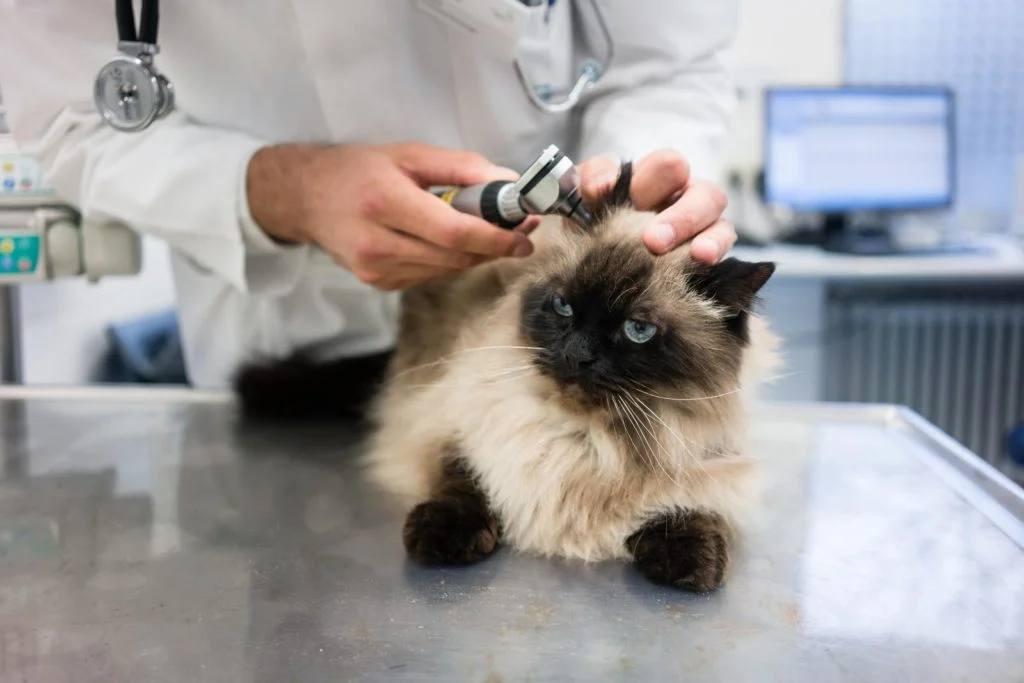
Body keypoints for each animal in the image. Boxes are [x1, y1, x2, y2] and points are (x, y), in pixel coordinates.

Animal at [235, 161, 778, 593]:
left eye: (637, 330)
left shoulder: (707, 460)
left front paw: (691, 563)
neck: (588, 438)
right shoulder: (456, 426)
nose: (577, 354)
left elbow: (692, 509)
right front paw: (443, 538)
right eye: (563, 306)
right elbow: (464, 480)